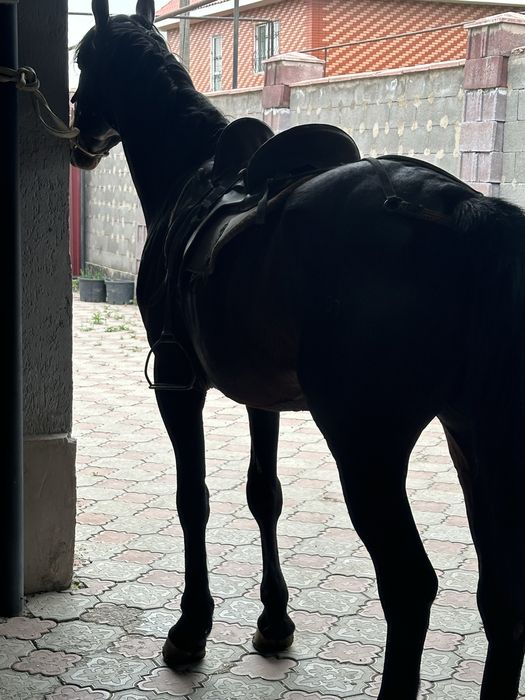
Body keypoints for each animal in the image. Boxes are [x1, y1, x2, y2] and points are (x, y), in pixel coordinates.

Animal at [70, 2, 525, 698]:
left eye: (82, 58)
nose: (78, 130)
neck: (193, 174)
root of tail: (461, 208)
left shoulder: (179, 384)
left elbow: (193, 498)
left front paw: (191, 627)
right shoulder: (264, 396)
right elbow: (266, 494)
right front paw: (274, 620)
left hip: (367, 446)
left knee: (410, 586)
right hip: (476, 439)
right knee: (501, 598)